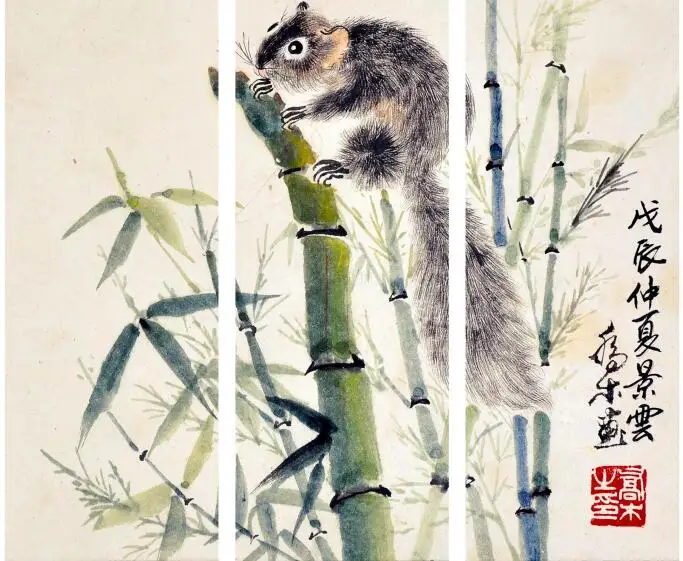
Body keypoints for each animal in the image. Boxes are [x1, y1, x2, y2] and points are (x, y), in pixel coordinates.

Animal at [249, 2, 550, 411]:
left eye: (296, 48)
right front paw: (264, 85)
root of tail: (418, 170)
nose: (260, 62)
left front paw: (302, 110)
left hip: (380, 142)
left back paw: (336, 166)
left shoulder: (371, 79)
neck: (349, 50)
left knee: (371, 164)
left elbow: (341, 103)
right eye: (272, 25)